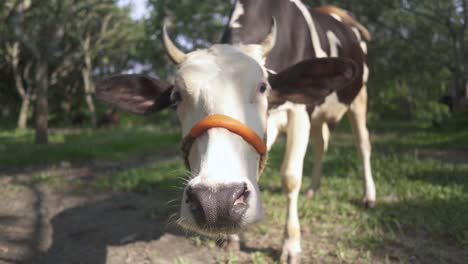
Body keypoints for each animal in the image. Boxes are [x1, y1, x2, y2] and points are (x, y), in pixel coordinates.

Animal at [94, 19, 358, 264]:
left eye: (263, 87)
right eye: (177, 96)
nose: (216, 202)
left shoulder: (299, 114)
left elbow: (290, 178)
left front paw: (291, 244)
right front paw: (232, 238)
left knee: (362, 145)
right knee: (322, 144)